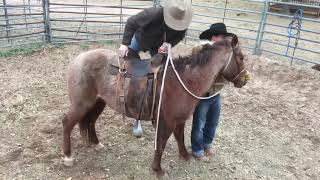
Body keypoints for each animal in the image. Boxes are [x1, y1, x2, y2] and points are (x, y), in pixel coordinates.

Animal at [62, 34, 248, 176]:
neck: (183, 80)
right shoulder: (167, 122)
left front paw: (185, 156)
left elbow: (180, 138)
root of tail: (78, 60)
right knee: (67, 123)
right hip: (81, 104)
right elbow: (161, 144)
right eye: (241, 57)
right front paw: (158, 169)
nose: (244, 80)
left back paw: (95, 143)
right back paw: (67, 157)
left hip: (98, 102)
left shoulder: (179, 120)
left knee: (90, 122)